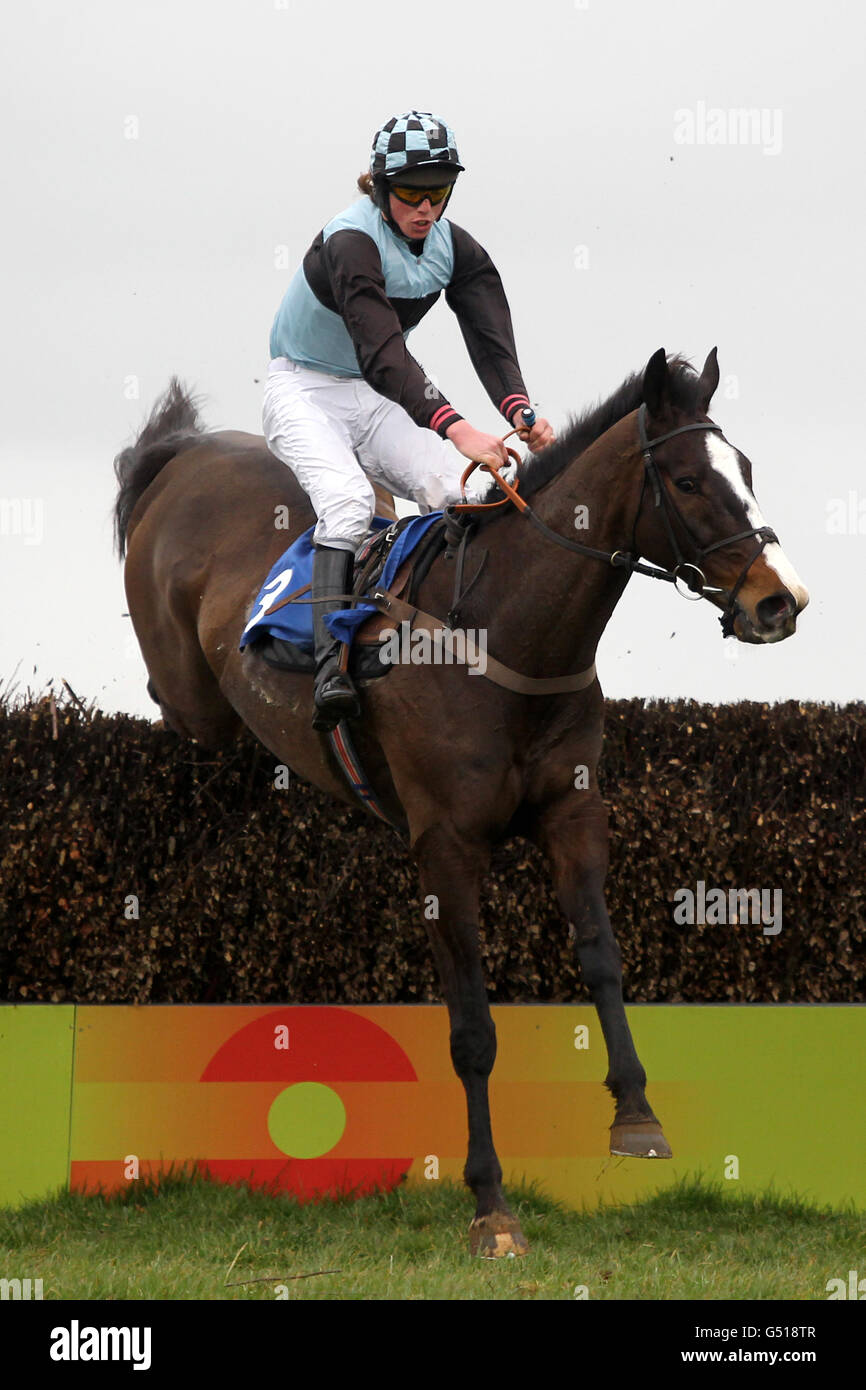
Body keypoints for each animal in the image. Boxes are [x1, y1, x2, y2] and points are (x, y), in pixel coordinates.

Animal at [111, 347, 811, 1262]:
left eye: (749, 471)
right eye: (691, 480)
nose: (780, 599)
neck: (505, 634)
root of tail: (186, 453)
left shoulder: (573, 816)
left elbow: (602, 958)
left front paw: (636, 1116)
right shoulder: (443, 846)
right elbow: (473, 1030)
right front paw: (492, 1205)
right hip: (195, 694)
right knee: (173, 695)